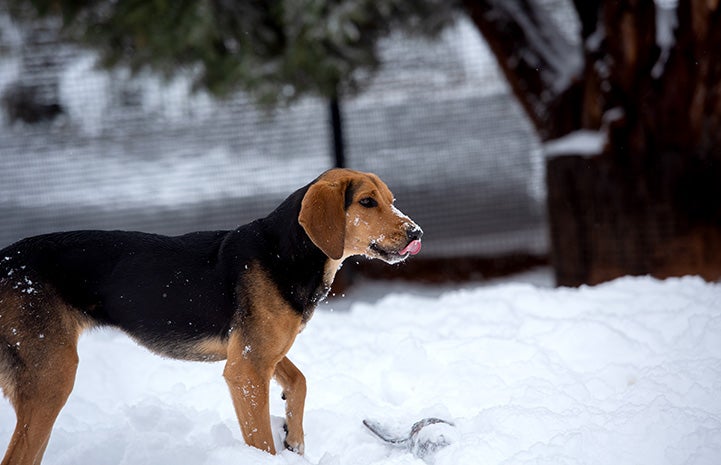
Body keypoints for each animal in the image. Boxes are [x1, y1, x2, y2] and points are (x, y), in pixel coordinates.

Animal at [0, 169, 422, 462]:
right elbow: (261, 440)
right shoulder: (246, 369)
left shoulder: (258, 352)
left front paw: (293, 436)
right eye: (367, 202)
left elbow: (299, 381)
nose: (416, 232)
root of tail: (3, 262)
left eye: (391, 199)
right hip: (52, 376)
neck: (286, 252)